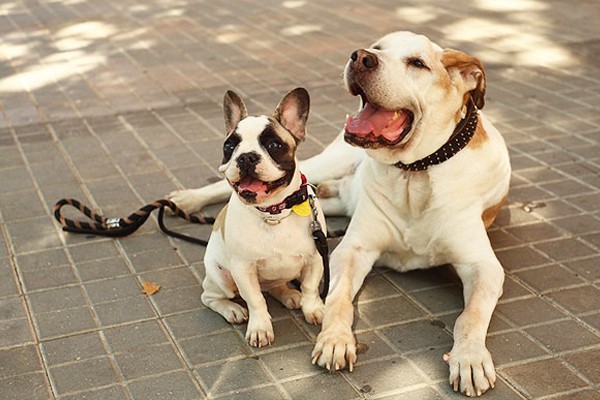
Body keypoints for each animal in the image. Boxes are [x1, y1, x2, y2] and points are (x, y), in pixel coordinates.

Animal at [170, 32, 510, 396]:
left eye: (417, 63)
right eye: (377, 47)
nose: (361, 57)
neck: (415, 172)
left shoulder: (483, 267)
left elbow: (470, 316)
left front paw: (470, 357)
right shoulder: (352, 250)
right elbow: (338, 299)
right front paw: (335, 339)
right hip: (325, 165)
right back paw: (188, 201)